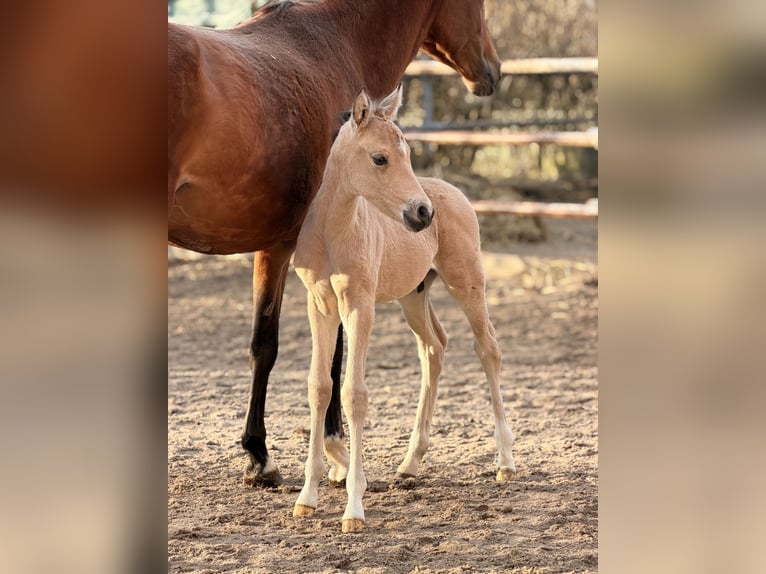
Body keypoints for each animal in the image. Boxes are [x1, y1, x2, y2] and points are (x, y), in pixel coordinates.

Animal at [168, 0, 501, 487]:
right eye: (478, 6)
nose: (493, 72)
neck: (331, 43)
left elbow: (269, 347)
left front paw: (266, 455)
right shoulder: (291, 252)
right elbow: (310, 353)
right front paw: (325, 455)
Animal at [292, 86, 516, 533]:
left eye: (408, 153)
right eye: (380, 158)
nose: (422, 213)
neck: (333, 233)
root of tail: (452, 192)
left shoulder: (360, 305)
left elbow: (354, 393)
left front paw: (354, 508)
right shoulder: (320, 305)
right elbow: (320, 387)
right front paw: (307, 497)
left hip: (468, 282)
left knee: (488, 349)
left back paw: (505, 461)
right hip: (414, 296)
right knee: (434, 348)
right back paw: (411, 462)